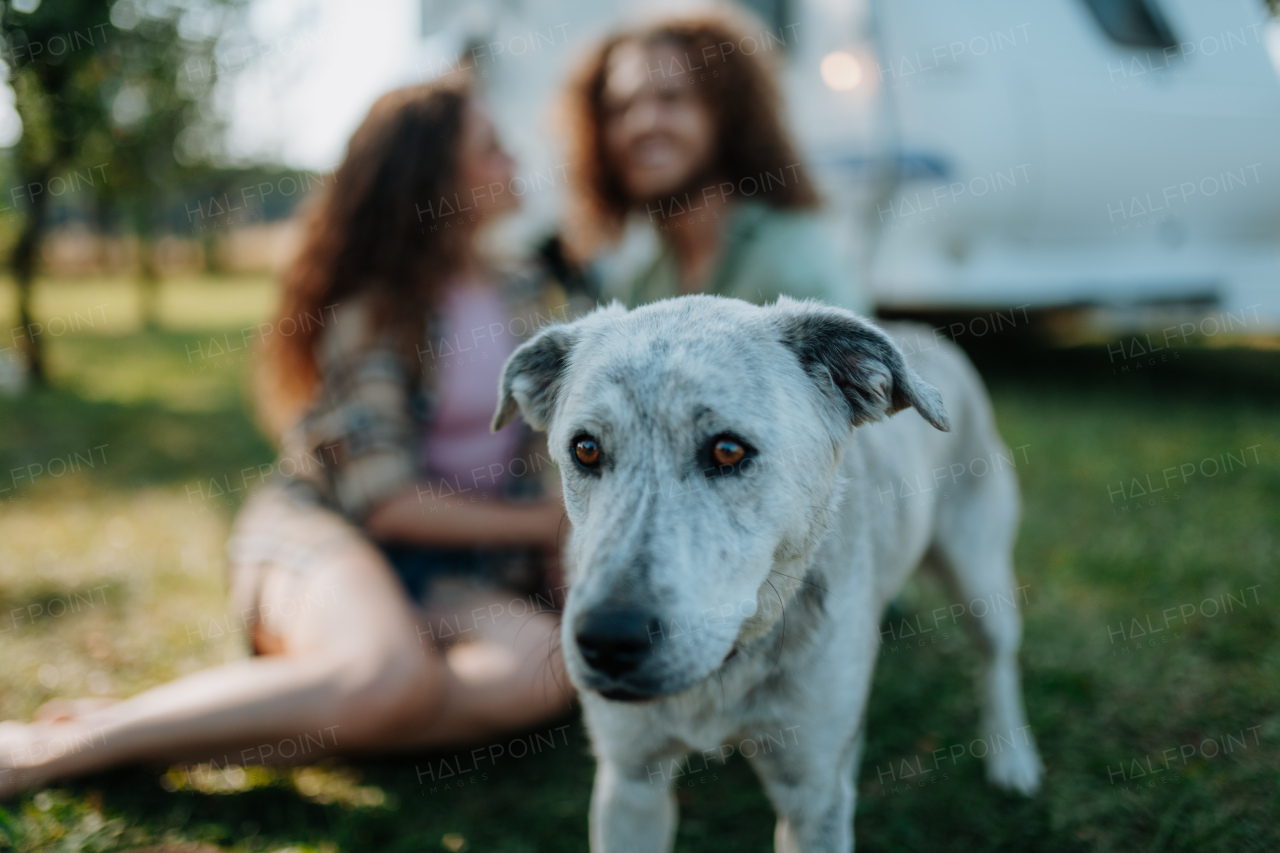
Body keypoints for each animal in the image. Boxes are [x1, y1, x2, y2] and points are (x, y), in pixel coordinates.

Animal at [488, 295, 1039, 845]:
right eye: (585, 449)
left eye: (728, 450)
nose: (607, 641)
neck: (724, 670)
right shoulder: (630, 785)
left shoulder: (812, 799)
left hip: (981, 584)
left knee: (997, 662)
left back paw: (1012, 757)